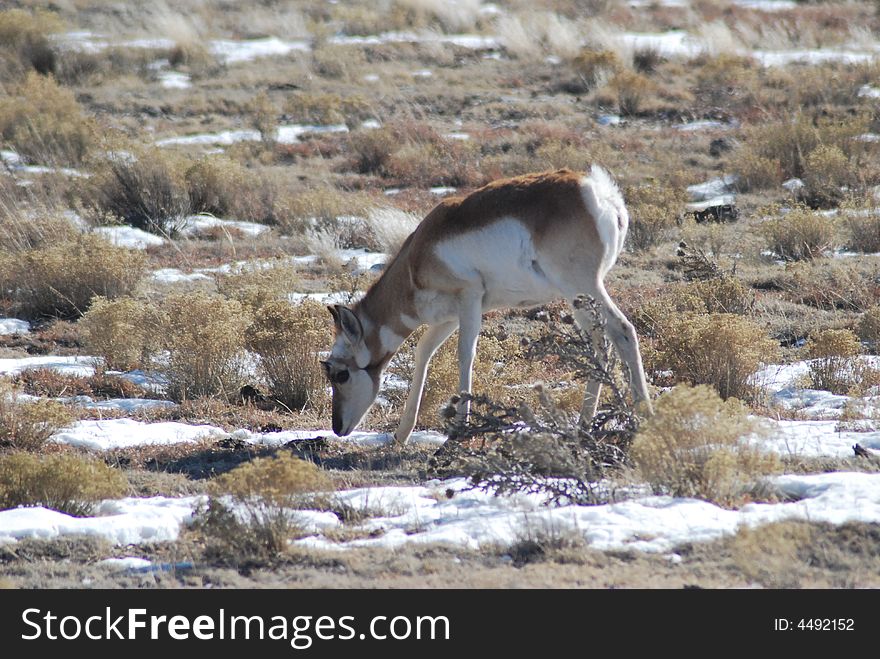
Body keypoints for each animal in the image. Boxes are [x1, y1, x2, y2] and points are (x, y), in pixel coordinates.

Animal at [324, 165, 652, 446]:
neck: (415, 258)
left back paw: (644, 418)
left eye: (341, 374)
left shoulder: (469, 300)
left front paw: (458, 430)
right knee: (600, 344)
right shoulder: (449, 318)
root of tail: (599, 192)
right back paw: (584, 425)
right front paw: (402, 433)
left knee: (622, 331)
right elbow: (423, 351)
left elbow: (465, 354)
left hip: (582, 288)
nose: (337, 428)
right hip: (579, 299)